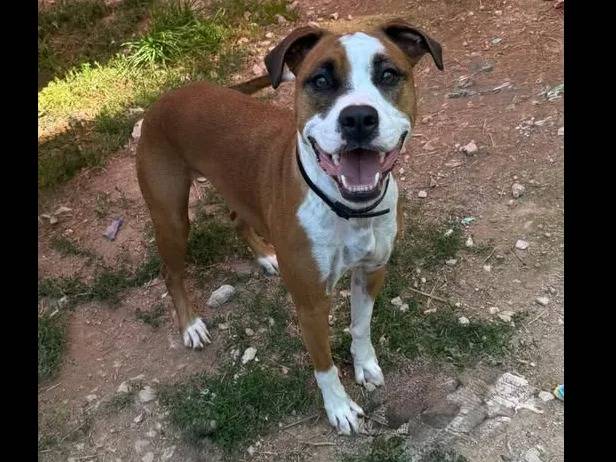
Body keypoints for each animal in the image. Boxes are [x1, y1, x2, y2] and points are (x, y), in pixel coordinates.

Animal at [136, 18, 443, 435]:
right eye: (321, 80)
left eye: (388, 75)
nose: (358, 118)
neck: (347, 210)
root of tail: (169, 94)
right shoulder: (311, 302)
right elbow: (324, 364)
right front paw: (339, 407)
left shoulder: (372, 272)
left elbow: (361, 327)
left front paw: (364, 365)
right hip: (171, 218)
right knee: (172, 273)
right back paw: (190, 325)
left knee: (237, 218)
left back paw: (266, 256)